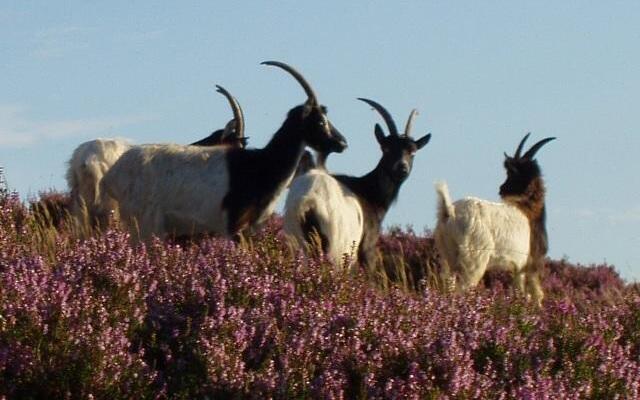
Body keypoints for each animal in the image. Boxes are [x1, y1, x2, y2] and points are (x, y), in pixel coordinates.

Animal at [284, 97, 430, 268]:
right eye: (386, 148)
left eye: (412, 152)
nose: (402, 168)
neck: (368, 191)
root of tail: (308, 203)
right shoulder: (366, 248)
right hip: (334, 246)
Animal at [436, 133, 556, 304]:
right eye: (511, 173)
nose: (502, 189)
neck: (529, 209)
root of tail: (449, 212)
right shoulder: (533, 263)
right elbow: (536, 295)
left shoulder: (518, 268)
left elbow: (520, 292)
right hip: (474, 259)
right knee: (463, 288)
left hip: (446, 256)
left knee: (449, 285)